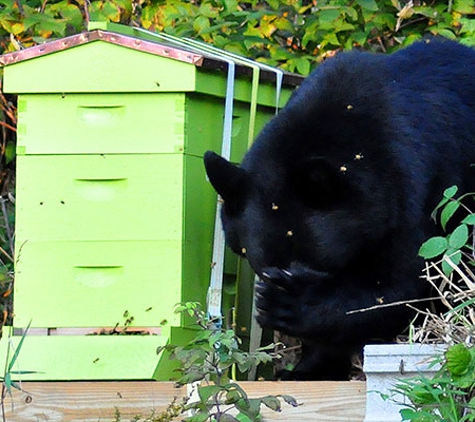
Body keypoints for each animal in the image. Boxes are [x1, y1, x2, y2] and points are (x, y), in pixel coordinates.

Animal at [205, 39, 475, 380]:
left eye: (319, 265)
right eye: (264, 266)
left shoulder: (416, 187)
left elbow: (402, 285)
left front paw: (290, 303)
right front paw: (306, 368)